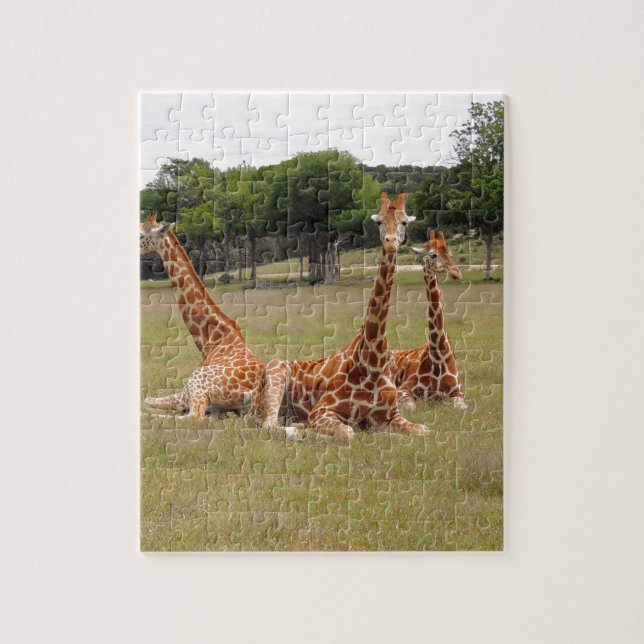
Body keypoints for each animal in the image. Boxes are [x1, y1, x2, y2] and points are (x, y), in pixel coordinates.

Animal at [140, 212, 264, 417]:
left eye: (141, 235)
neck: (211, 340)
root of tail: (252, 395)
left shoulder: (185, 393)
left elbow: (147, 400)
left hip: (196, 384)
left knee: (193, 417)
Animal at [259, 192, 429, 438]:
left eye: (404, 222)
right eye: (378, 221)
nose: (390, 242)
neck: (372, 362)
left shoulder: (392, 415)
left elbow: (425, 430)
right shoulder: (321, 410)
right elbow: (348, 432)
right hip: (276, 372)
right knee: (269, 425)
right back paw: (300, 429)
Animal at [392, 229, 467, 411]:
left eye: (450, 253)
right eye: (433, 255)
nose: (456, 273)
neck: (439, 357)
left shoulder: (458, 392)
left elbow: (461, 408)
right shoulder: (403, 389)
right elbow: (411, 407)